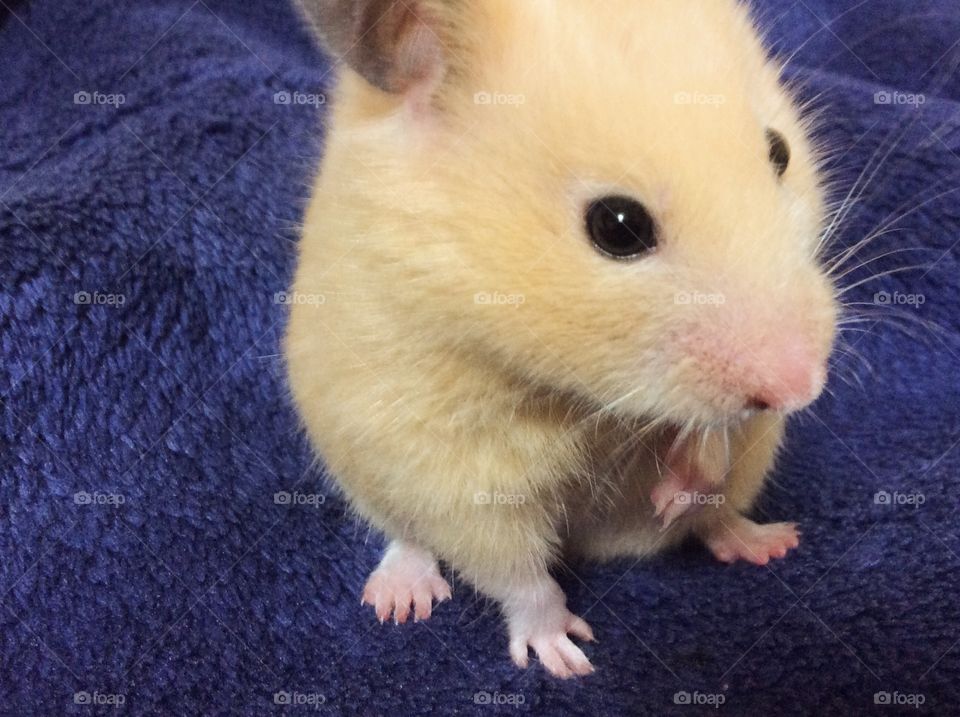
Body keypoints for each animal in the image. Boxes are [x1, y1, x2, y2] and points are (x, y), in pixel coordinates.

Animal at [286, 0, 838, 678]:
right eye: (618, 227)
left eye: (779, 151)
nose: (802, 388)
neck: (575, 395)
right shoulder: (454, 467)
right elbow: (516, 573)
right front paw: (567, 658)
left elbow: (716, 437)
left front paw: (674, 490)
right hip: (359, 471)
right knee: (408, 535)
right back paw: (400, 600)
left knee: (715, 519)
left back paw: (763, 541)